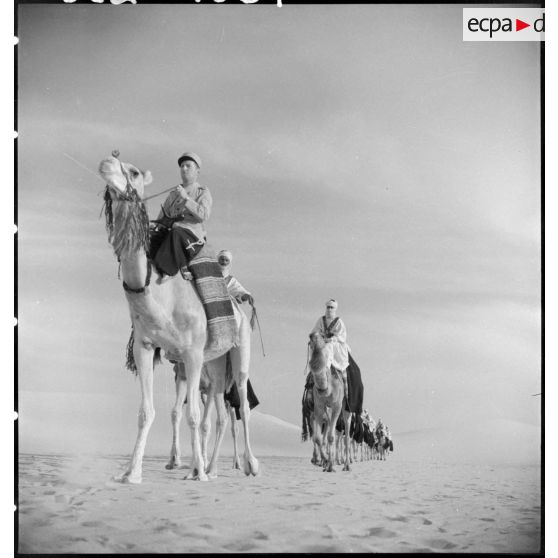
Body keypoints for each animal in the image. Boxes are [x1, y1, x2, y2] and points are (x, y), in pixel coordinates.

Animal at [98, 155, 260, 484]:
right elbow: (146, 411)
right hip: (215, 361)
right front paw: (131, 473)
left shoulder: (192, 352)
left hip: (239, 350)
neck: (160, 291)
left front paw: (197, 473)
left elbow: (194, 416)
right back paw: (213, 466)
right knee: (221, 410)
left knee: (242, 401)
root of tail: (237, 306)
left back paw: (249, 465)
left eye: (134, 172)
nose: (106, 162)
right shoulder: (146, 348)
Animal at [308, 332, 352, 472]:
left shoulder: (336, 406)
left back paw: (347, 465)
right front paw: (326, 461)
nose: (313, 335)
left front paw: (330, 465)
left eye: (323, 337)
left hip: (346, 409)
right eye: (310, 342)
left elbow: (331, 437)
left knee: (346, 436)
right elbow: (318, 438)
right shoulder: (318, 407)